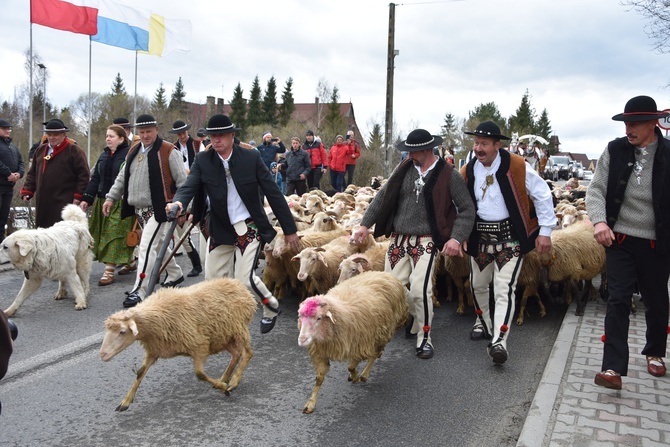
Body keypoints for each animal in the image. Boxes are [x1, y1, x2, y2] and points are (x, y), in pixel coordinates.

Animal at [100, 280, 258, 412]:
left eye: (122, 331)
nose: (102, 354)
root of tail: (239, 285)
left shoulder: (199, 345)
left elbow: (200, 374)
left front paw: (224, 389)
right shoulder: (154, 350)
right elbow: (140, 373)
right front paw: (125, 402)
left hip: (238, 329)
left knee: (248, 353)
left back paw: (233, 381)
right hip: (223, 337)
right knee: (236, 354)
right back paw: (224, 378)